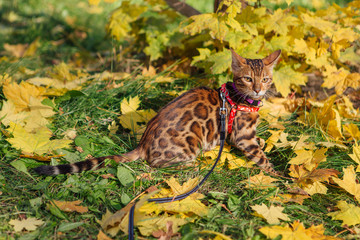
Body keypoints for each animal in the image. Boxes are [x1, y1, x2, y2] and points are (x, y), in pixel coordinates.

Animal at [33, 49, 282, 176]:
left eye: (265, 79)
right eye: (248, 78)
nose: (258, 89)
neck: (242, 98)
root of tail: (143, 143)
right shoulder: (243, 136)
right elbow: (261, 157)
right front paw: (278, 177)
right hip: (188, 144)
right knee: (157, 164)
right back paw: (194, 165)